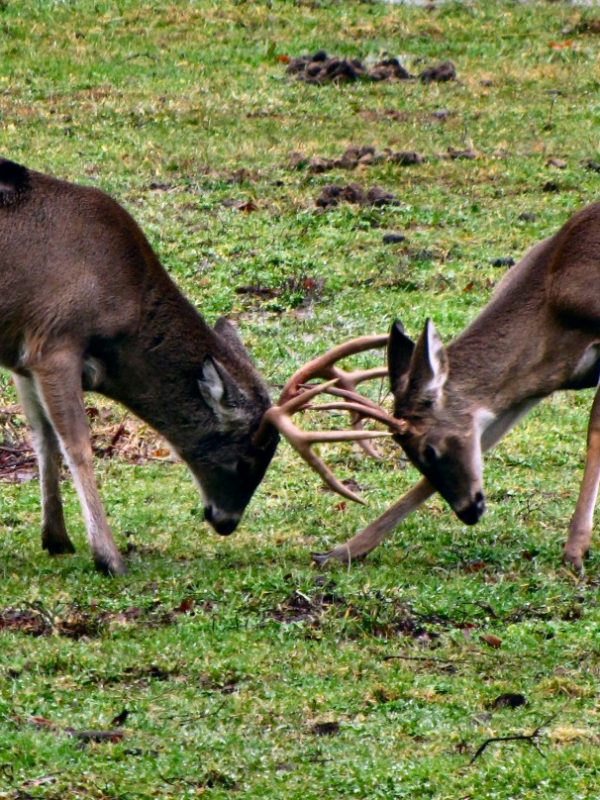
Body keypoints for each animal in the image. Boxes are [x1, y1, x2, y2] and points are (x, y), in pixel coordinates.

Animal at [0, 158, 283, 575]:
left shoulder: (22, 355)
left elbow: (43, 439)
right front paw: (108, 557)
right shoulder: (55, 341)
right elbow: (77, 445)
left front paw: (56, 538)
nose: (225, 522)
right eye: (246, 458)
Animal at [260, 201, 600, 574]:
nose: (469, 512)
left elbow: (594, 431)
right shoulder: (531, 383)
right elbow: (487, 439)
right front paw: (343, 550)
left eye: (429, 450)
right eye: (412, 455)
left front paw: (575, 551)